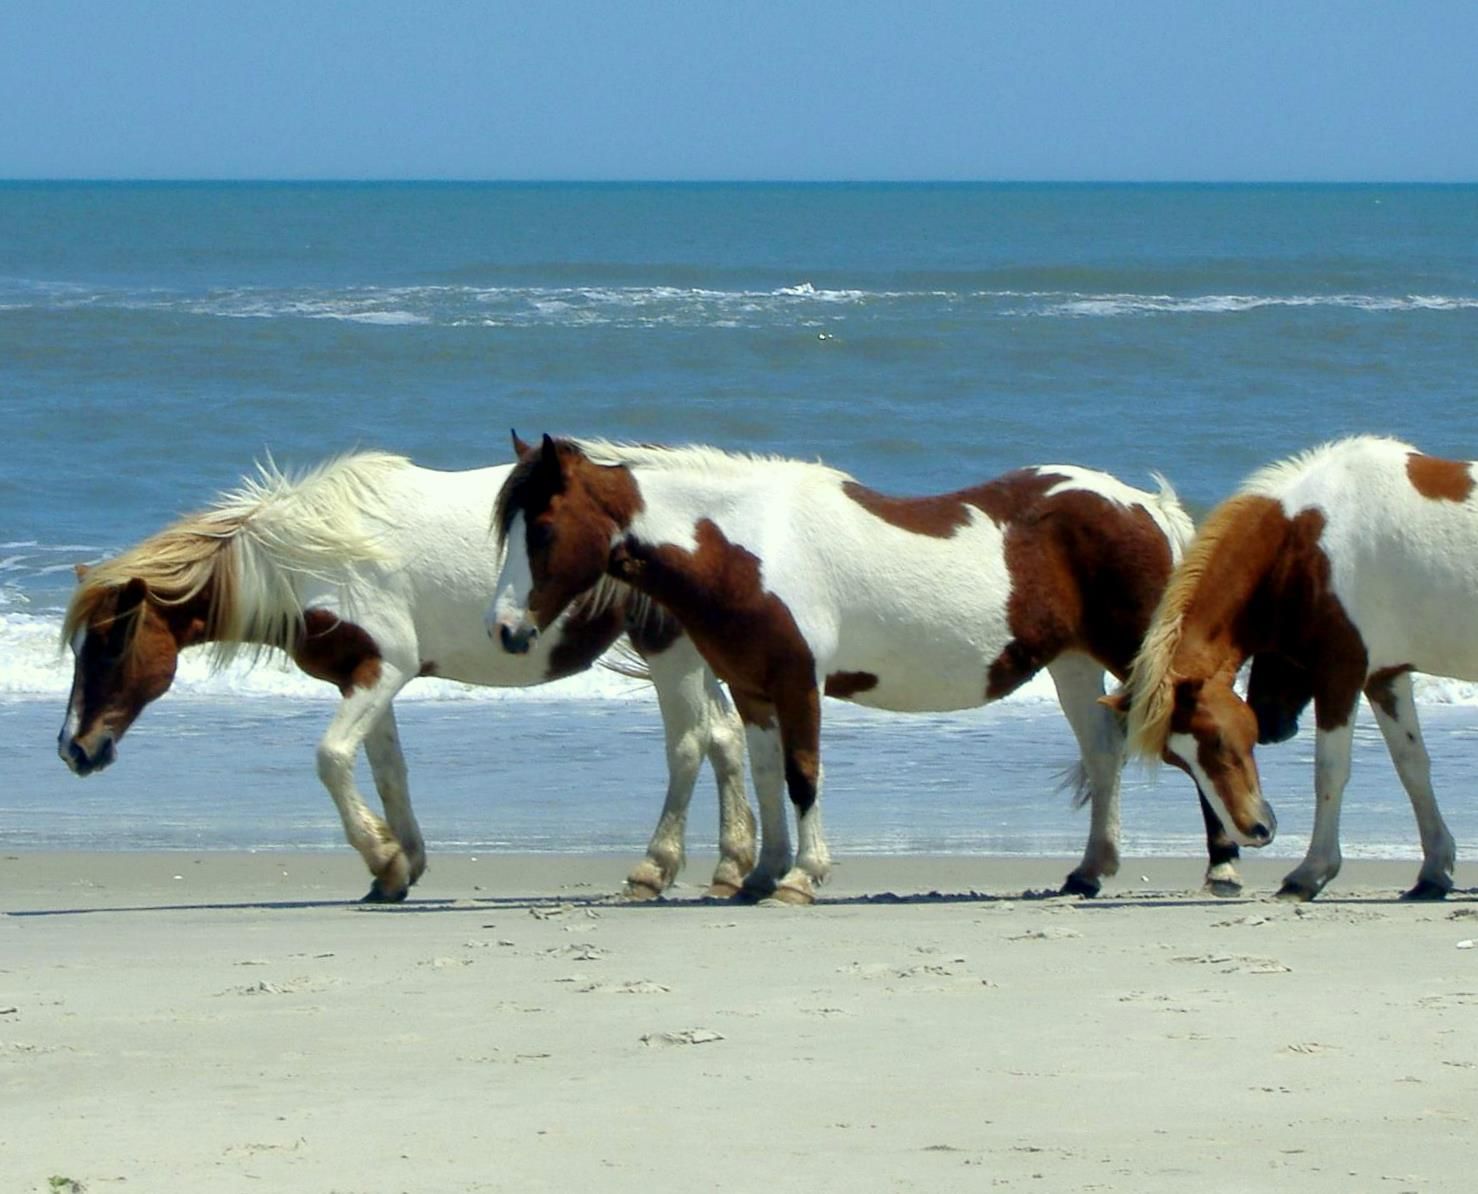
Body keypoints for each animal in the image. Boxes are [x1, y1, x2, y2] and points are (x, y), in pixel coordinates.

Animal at [59, 452, 756, 898]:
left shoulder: (383, 669)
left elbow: (331, 758)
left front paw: (386, 858)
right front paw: (401, 865)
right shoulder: (364, 678)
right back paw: (732, 868)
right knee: (725, 738)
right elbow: (385, 769)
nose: (75, 749)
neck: (306, 560)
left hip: (669, 647)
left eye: (111, 644)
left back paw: (654, 869)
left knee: (690, 744)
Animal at [487, 434, 1235, 898]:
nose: (505, 629)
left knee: (1194, 737)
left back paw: (1223, 868)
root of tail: (1145, 505)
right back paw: (1089, 870)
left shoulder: (799, 684)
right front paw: (761, 875)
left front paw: (800, 878)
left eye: (544, 529)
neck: (747, 546)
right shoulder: (753, 689)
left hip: (1132, 654)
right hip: (1073, 665)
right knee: (1104, 753)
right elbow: (766, 777)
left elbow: (803, 776)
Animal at [1117, 437, 1478, 898]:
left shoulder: (1340, 673)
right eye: (1175, 760)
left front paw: (1311, 872)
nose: (1253, 831)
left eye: (1217, 740)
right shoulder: (1384, 676)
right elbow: (1412, 765)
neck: (1306, 541)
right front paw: (1433, 871)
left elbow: (1329, 773)